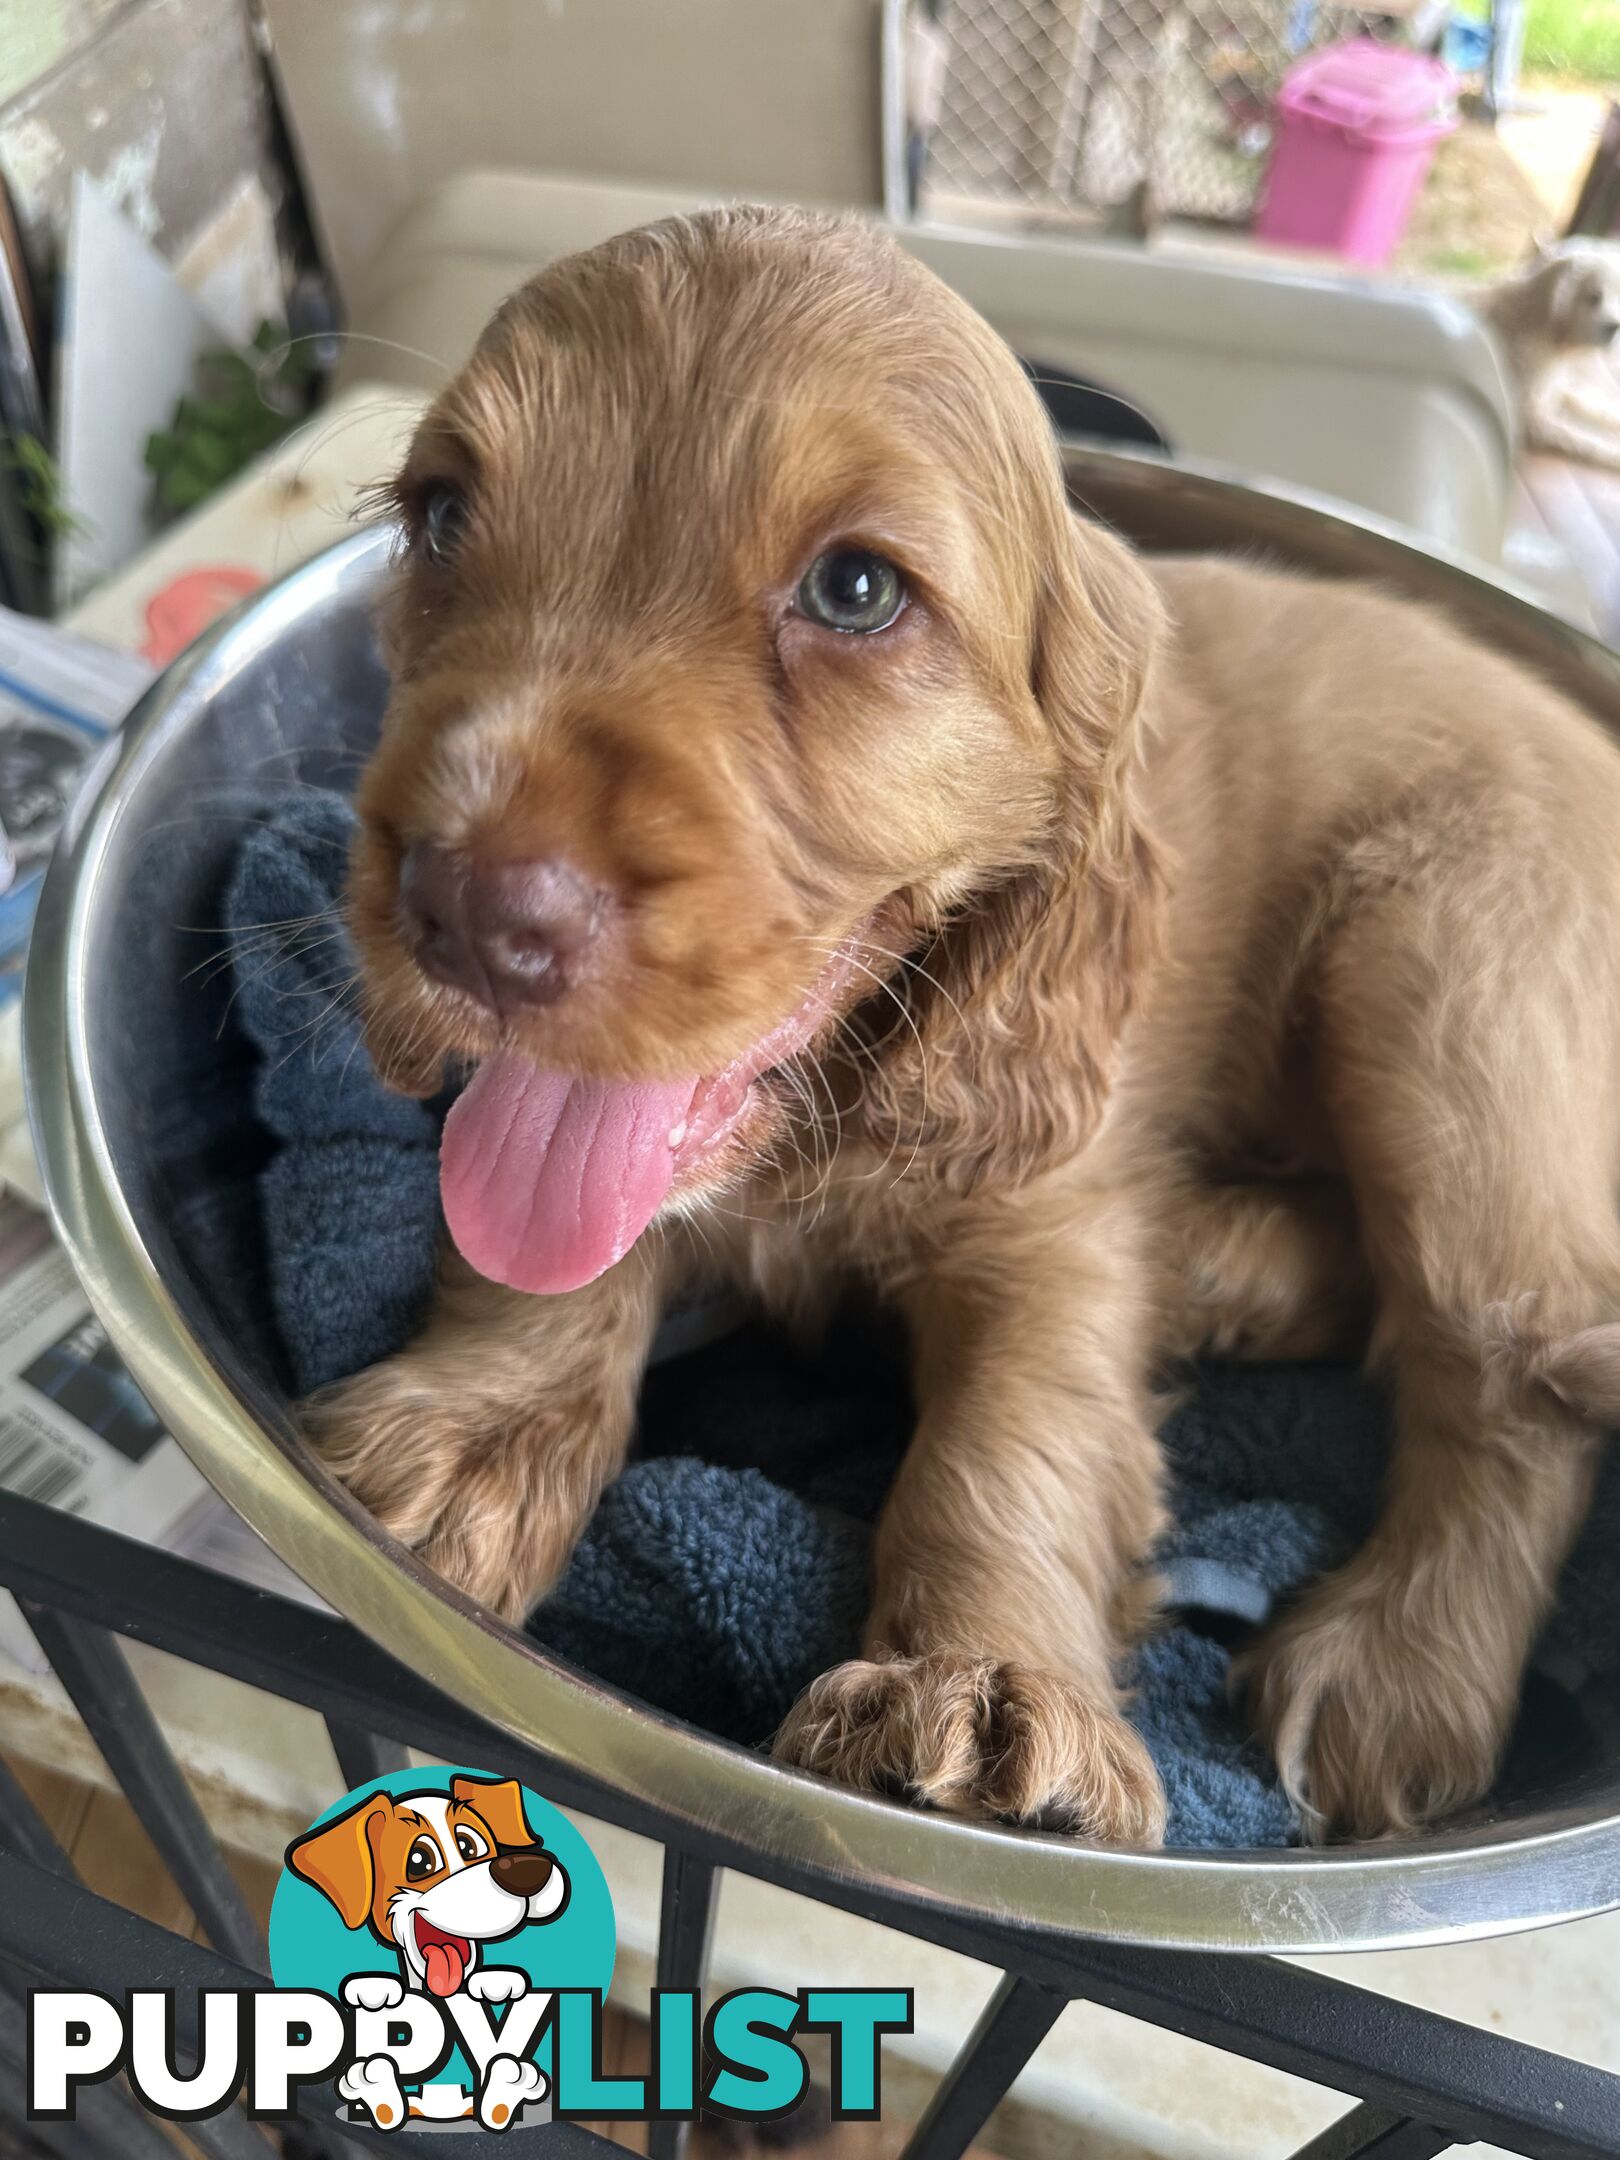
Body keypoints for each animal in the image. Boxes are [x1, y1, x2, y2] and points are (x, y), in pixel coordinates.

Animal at [306, 210, 1620, 1848]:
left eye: (858, 592)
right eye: (441, 516)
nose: (467, 909)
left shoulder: (1050, 1216)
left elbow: (1012, 1442)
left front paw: (984, 1691)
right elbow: (551, 1245)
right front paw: (469, 1435)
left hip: (1444, 973)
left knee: (1509, 1361)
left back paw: (1398, 1664)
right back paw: (1224, 1268)